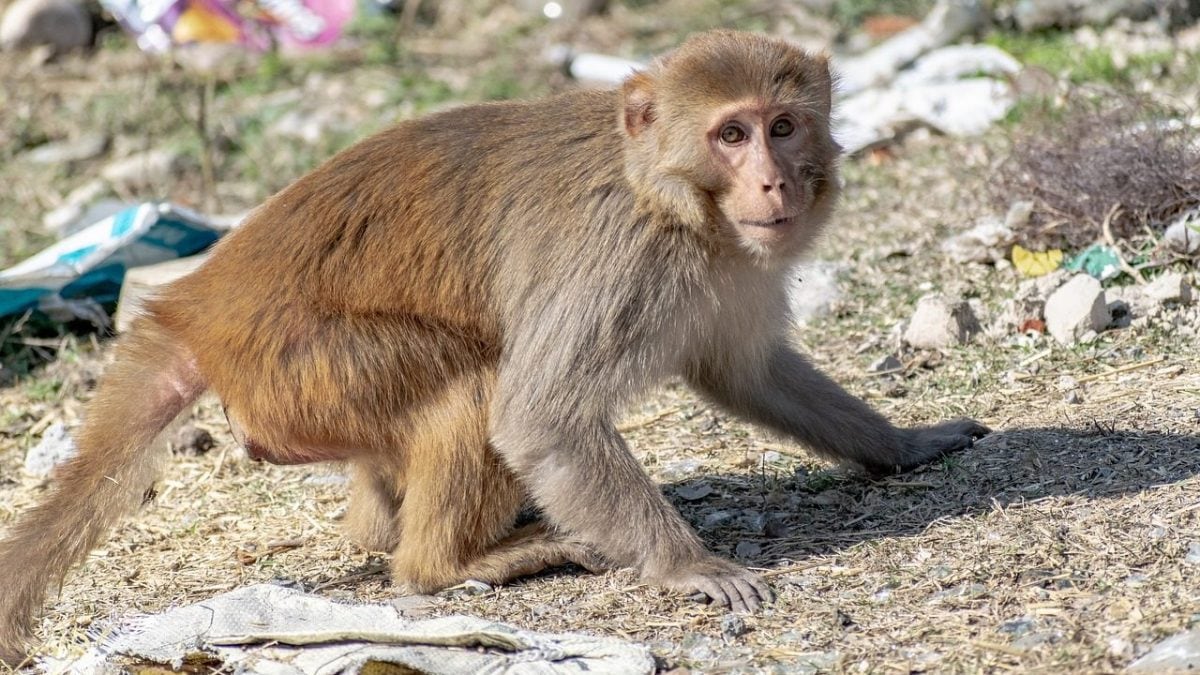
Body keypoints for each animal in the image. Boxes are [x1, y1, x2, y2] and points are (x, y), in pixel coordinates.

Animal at [0, 30, 990, 663]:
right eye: (731, 133)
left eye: (783, 126)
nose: (775, 182)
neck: (672, 198)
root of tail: (194, 308)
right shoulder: (622, 258)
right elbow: (540, 414)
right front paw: (689, 566)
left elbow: (746, 371)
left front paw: (903, 442)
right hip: (305, 367)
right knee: (472, 388)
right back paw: (450, 565)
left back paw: (394, 528)